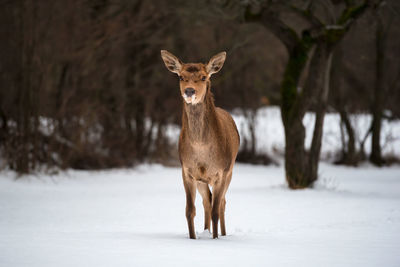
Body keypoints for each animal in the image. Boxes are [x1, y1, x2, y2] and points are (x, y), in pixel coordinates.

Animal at [160, 50, 241, 241]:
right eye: (181, 76)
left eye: (204, 77)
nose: (189, 91)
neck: (201, 149)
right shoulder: (187, 171)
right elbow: (190, 210)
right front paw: (193, 238)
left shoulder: (221, 172)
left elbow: (216, 211)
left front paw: (216, 239)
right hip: (202, 180)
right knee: (207, 201)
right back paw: (206, 231)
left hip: (230, 170)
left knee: (221, 203)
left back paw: (222, 234)